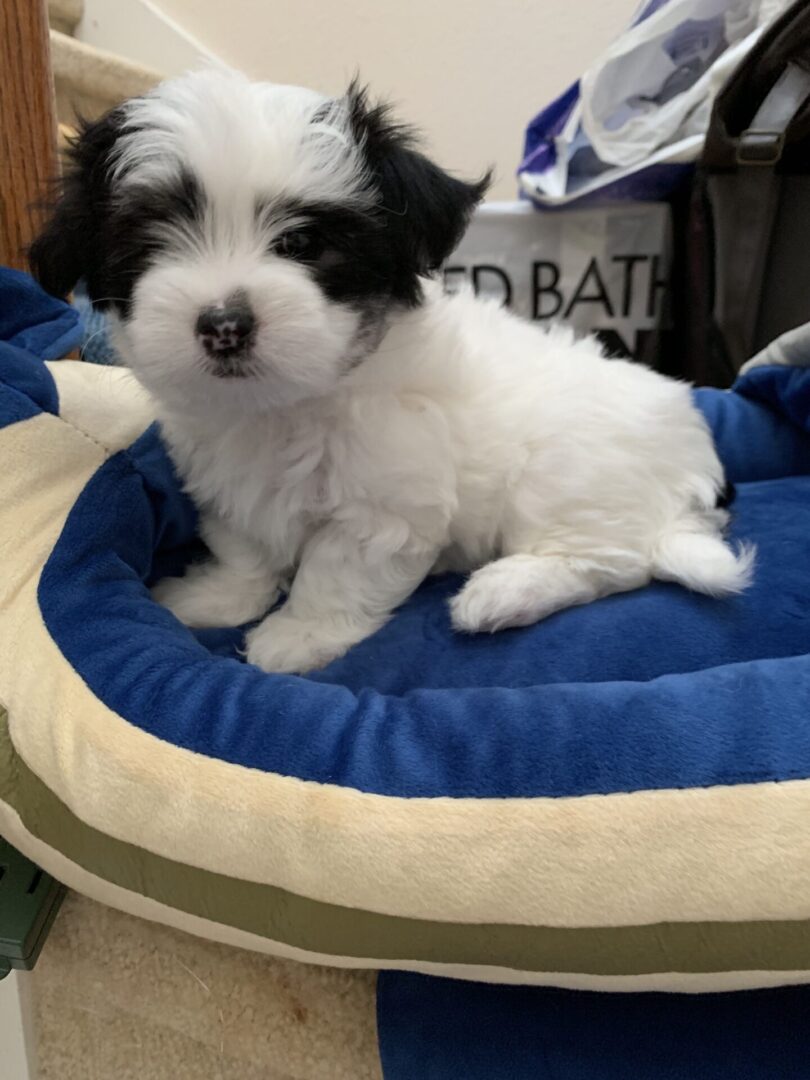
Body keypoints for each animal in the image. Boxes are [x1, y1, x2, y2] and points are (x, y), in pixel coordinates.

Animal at [30, 67, 756, 669]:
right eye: (149, 247)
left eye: (302, 243)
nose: (224, 324)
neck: (288, 405)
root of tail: (694, 462)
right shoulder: (228, 484)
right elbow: (246, 546)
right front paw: (220, 596)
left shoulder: (385, 502)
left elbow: (337, 568)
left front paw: (298, 635)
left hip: (570, 476)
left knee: (617, 563)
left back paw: (504, 591)